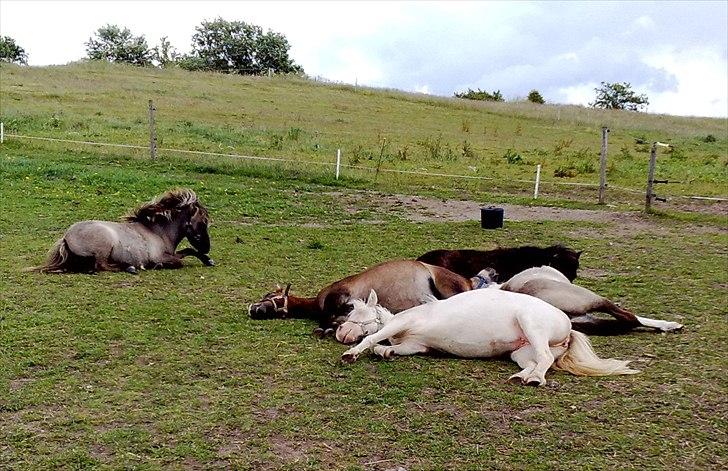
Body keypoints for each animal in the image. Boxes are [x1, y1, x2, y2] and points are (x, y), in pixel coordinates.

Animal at [32, 189, 213, 274]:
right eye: (202, 222)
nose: (207, 248)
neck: (157, 232)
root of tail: (66, 238)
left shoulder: (172, 253)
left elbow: (188, 250)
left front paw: (208, 260)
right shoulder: (160, 256)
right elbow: (178, 261)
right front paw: (158, 266)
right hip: (104, 247)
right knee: (101, 265)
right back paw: (130, 267)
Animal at [247, 260, 470, 338]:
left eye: (269, 295)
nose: (254, 310)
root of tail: (466, 281)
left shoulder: (340, 295)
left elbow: (327, 316)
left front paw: (326, 328)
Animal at [340, 288, 636, 388]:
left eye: (359, 313)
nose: (342, 333)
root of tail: (567, 325)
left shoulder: (403, 324)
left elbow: (372, 339)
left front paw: (351, 354)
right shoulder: (416, 345)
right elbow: (390, 348)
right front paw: (386, 352)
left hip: (532, 326)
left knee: (545, 359)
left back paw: (534, 380)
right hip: (520, 352)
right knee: (537, 362)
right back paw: (522, 377)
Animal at [478, 266, 684, 336]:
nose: (491, 269)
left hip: (586, 315)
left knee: (624, 321)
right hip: (592, 299)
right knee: (628, 317)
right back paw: (671, 325)